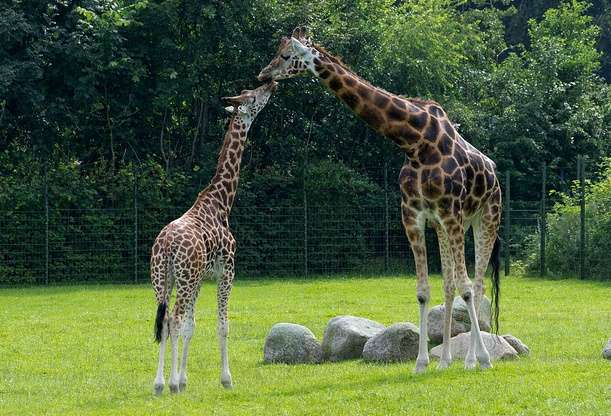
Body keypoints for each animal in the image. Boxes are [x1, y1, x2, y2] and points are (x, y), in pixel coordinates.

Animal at [151, 80, 278, 394]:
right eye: (253, 97)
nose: (272, 83)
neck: (221, 203)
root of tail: (167, 245)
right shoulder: (226, 271)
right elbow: (222, 325)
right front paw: (226, 379)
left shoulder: (200, 278)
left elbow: (192, 326)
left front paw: (184, 379)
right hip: (183, 279)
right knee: (174, 317)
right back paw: (169, 384)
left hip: (162, 279)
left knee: (165, 320)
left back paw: (159, 384)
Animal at [258, 27, 502, 372]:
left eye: (284, 55)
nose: (263, 74)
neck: (415, 142)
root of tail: (494, 172)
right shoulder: (414, 214)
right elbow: (424, 290)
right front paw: (421, 364)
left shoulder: (450, 211)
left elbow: (468, 287)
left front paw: (480, 359)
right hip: (445, 226)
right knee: (450, 283)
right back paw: (445, 362)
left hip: (485, 218)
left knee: (477, 284)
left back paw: (473, 360)